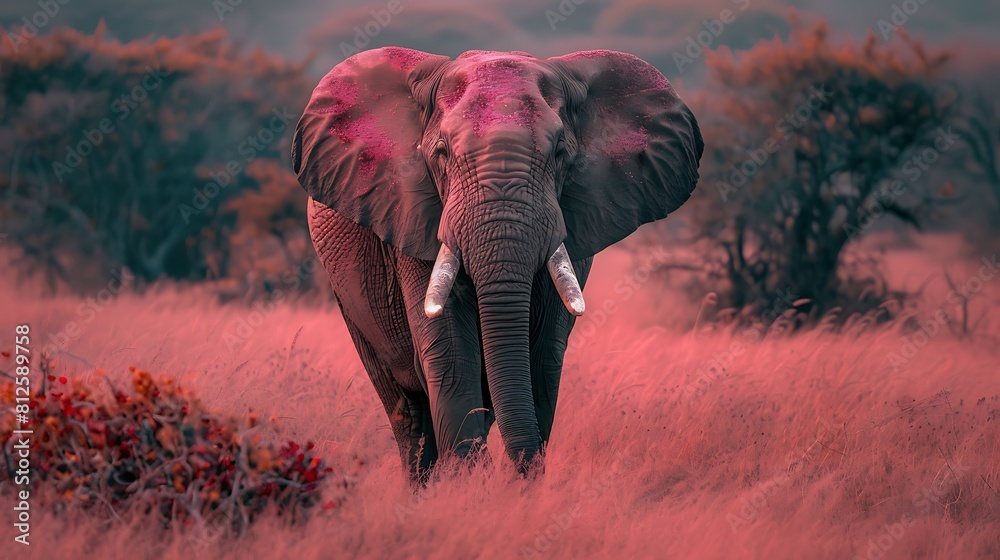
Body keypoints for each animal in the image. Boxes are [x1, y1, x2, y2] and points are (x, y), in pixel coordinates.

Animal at [291, 47, 703, 480]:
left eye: (560, 153)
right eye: (441, 153)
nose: (516, 475)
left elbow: (543, 355)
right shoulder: (413, 214)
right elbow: (450, 350)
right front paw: (469, 484)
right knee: (405, 407)